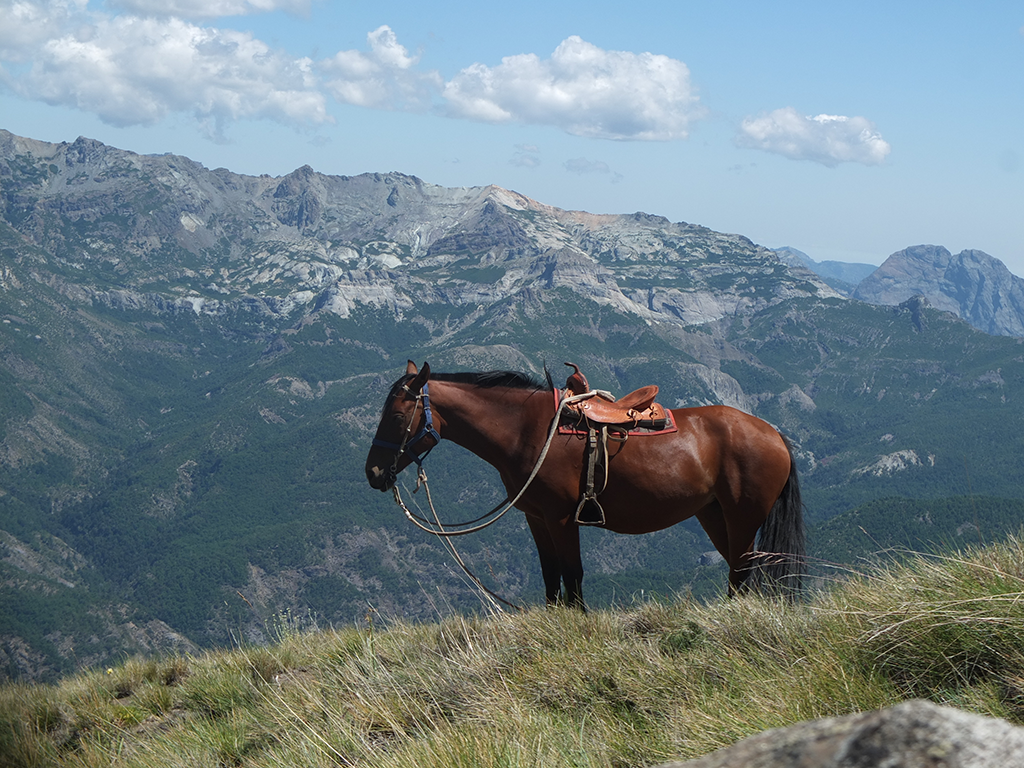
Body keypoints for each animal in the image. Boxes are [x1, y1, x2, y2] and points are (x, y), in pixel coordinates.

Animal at [364, 360, 802, 606]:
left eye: (398, 417)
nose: (373, 473)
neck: (528, 431)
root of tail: (775, 434)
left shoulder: (561, 518)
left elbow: (572, 574)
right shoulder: (536, 518)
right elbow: (550, 575)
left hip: (743, 517)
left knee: (742, 570)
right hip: (714, 515)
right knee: (739, 570)